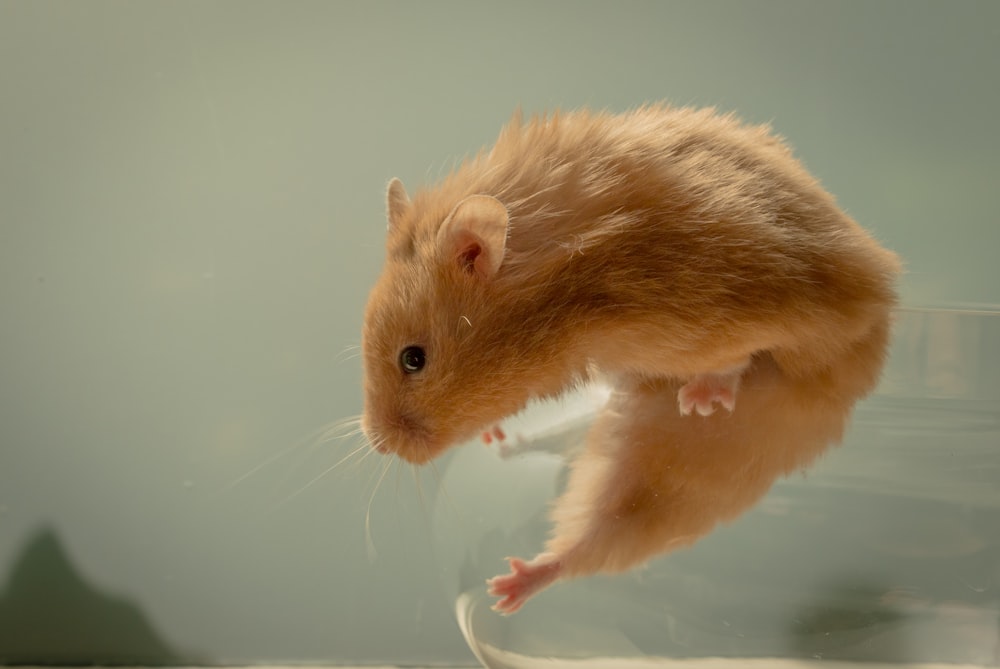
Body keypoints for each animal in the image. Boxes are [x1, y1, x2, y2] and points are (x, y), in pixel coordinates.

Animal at [360, 107, 900, 612]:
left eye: (413, 359)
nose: (379, 444)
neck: (566, 300)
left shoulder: (728, 314)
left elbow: (738, 355)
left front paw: (702, 399)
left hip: (695, 456)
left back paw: (509, 587)